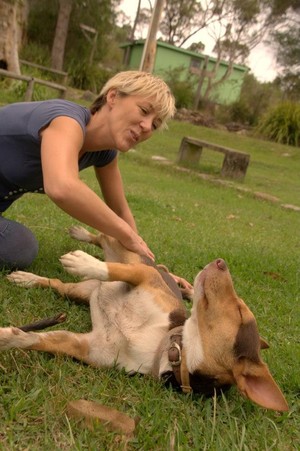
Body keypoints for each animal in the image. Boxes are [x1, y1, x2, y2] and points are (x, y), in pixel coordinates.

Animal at [1, 228, 288, 412]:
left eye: (240, 311)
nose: (221, 262)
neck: (165, 346)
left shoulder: (83, 346)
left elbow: (35, 339)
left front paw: (7, 337)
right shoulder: (144, 277)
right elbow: (111, 269)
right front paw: (83, 261)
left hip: (78, 290)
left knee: (58, 283)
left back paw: (28, 278)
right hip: (134, 257)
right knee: (108, 240)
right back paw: (80, 237)